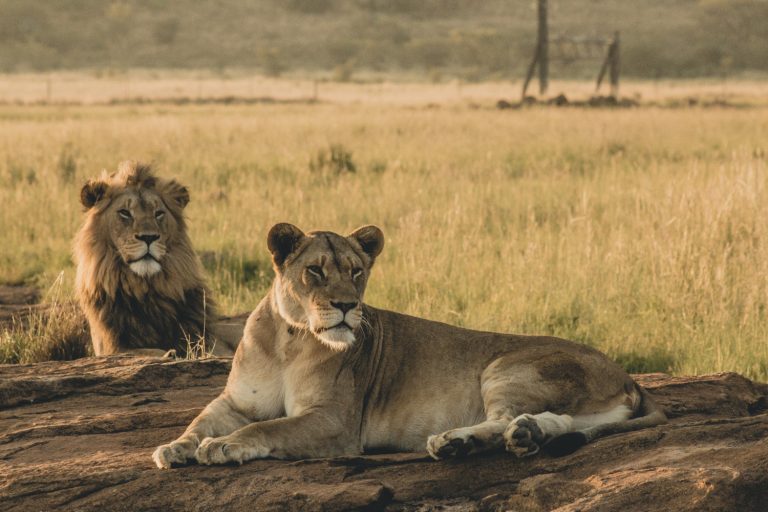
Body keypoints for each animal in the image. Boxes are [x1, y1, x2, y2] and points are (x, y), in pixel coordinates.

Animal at [74, 161, 241, 358]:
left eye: (159, 213)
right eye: (124, 213)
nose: (149, 237)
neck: (147, 289)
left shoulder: (209, 340)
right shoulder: (111, 347)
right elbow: (144, 351)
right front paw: (168, 353)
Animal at [153, 223, 666, 468]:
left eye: (357, 271)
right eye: (315, 271)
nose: (347, 305)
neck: (289, 339)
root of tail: (628, 376)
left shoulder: (336, 423)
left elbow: (269, 428)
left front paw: (225, 447)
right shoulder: (235, 401)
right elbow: (200, 422)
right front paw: (173, 448)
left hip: (506, 366)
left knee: (502, 418)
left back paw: (455, 442)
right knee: (555, 422)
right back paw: (525, 436)